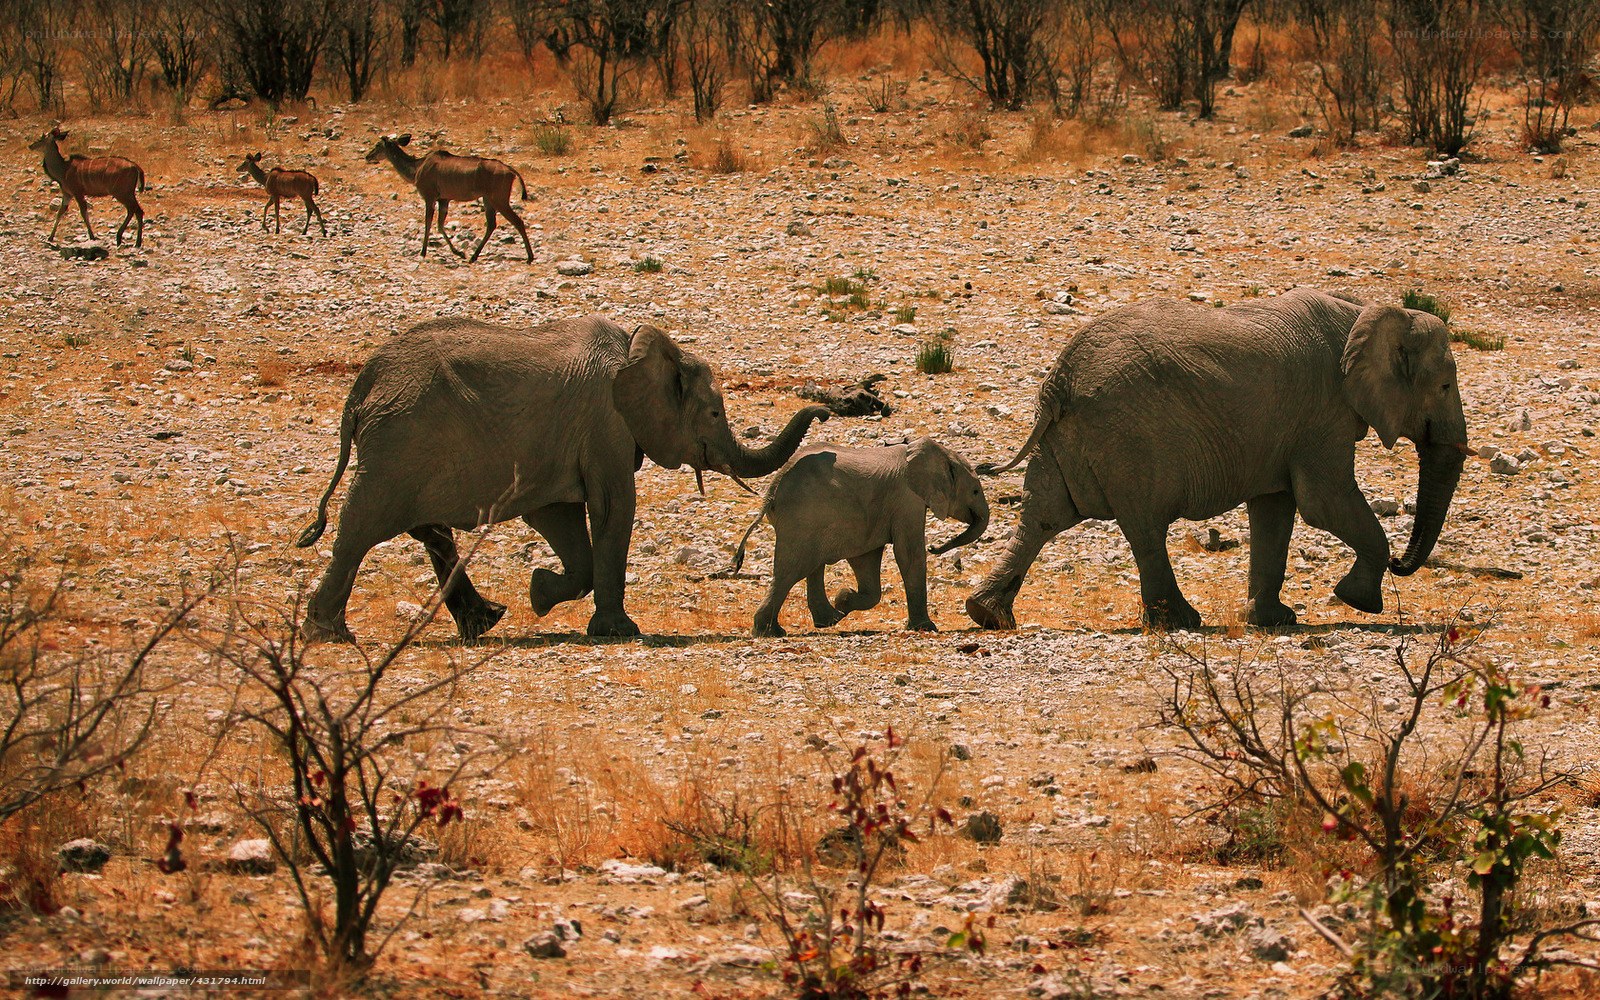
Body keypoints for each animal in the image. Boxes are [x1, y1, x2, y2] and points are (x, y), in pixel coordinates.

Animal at [295, 316, 831, 642]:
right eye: (715, 413)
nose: (827, 410)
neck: (639, 347)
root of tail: (361, 386)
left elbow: (561, 519)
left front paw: (539, 593)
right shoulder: (606, 423)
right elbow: (614, 507)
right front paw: (619, 631)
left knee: (428, 529)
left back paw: (485, 622)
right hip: (400, 442)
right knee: (362, 524)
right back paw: (329, 634)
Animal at [726, 437, 990, 637]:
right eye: (975, 491)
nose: (936, 547)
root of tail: (772, 490)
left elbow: (867, 560)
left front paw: (843, 599)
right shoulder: (907, 499)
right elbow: (908, 554)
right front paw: (926, 628)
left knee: (810, 566)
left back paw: (825, 620)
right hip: (802, 518)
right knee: (791, 570)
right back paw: (771, 632)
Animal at [965, 288, 1471, 631]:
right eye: (1445, 386)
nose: (1402, 564)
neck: (1366, 312)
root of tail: (1060, 379)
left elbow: (1275, 509)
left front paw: (1274, 620)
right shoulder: (1321, 415)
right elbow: (1322, 502)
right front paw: (1358, 602)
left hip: (1070, 437)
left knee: (1043, 516)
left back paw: (987, 615)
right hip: (1128, 438)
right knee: (1145, 527)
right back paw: (1182, 622)